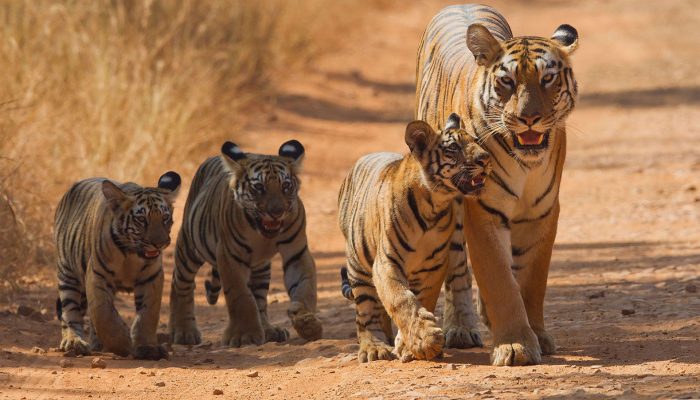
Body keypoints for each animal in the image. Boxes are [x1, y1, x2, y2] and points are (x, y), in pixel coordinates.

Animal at [55, 170, 180, 358]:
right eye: (141, 219)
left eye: (165, 218)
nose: (159, 243)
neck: (131, 254)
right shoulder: (97, 275)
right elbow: (103, 313)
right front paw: (122, 344)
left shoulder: (152, 277)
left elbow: (148, 315)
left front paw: (146, 347)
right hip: (68, 275)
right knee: (70, 312)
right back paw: (74, 342)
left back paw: (97, 343)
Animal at [170, 139, 322, 346]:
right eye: (258, 187)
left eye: (286, 186)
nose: (277, 212)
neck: (262, 234)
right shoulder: (229, 256)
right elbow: (241, 296)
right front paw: (245, 336)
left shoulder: (297, 252)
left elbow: (305, 287)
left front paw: (307, 322)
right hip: (189, 246)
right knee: (181, 284)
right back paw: (184, 332)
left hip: (261, 267)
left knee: (260, 299)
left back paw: (269, 330)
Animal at [416, 3, 580, 366]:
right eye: (507, 81)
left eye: (548, 78)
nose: (529, 118)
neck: (527, 164)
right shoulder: (483, 210)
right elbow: (500, 281)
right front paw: (516, 345)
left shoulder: (542, 212)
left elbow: (530, 281)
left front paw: (537, 336)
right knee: (458, 269)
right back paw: (462, 327)